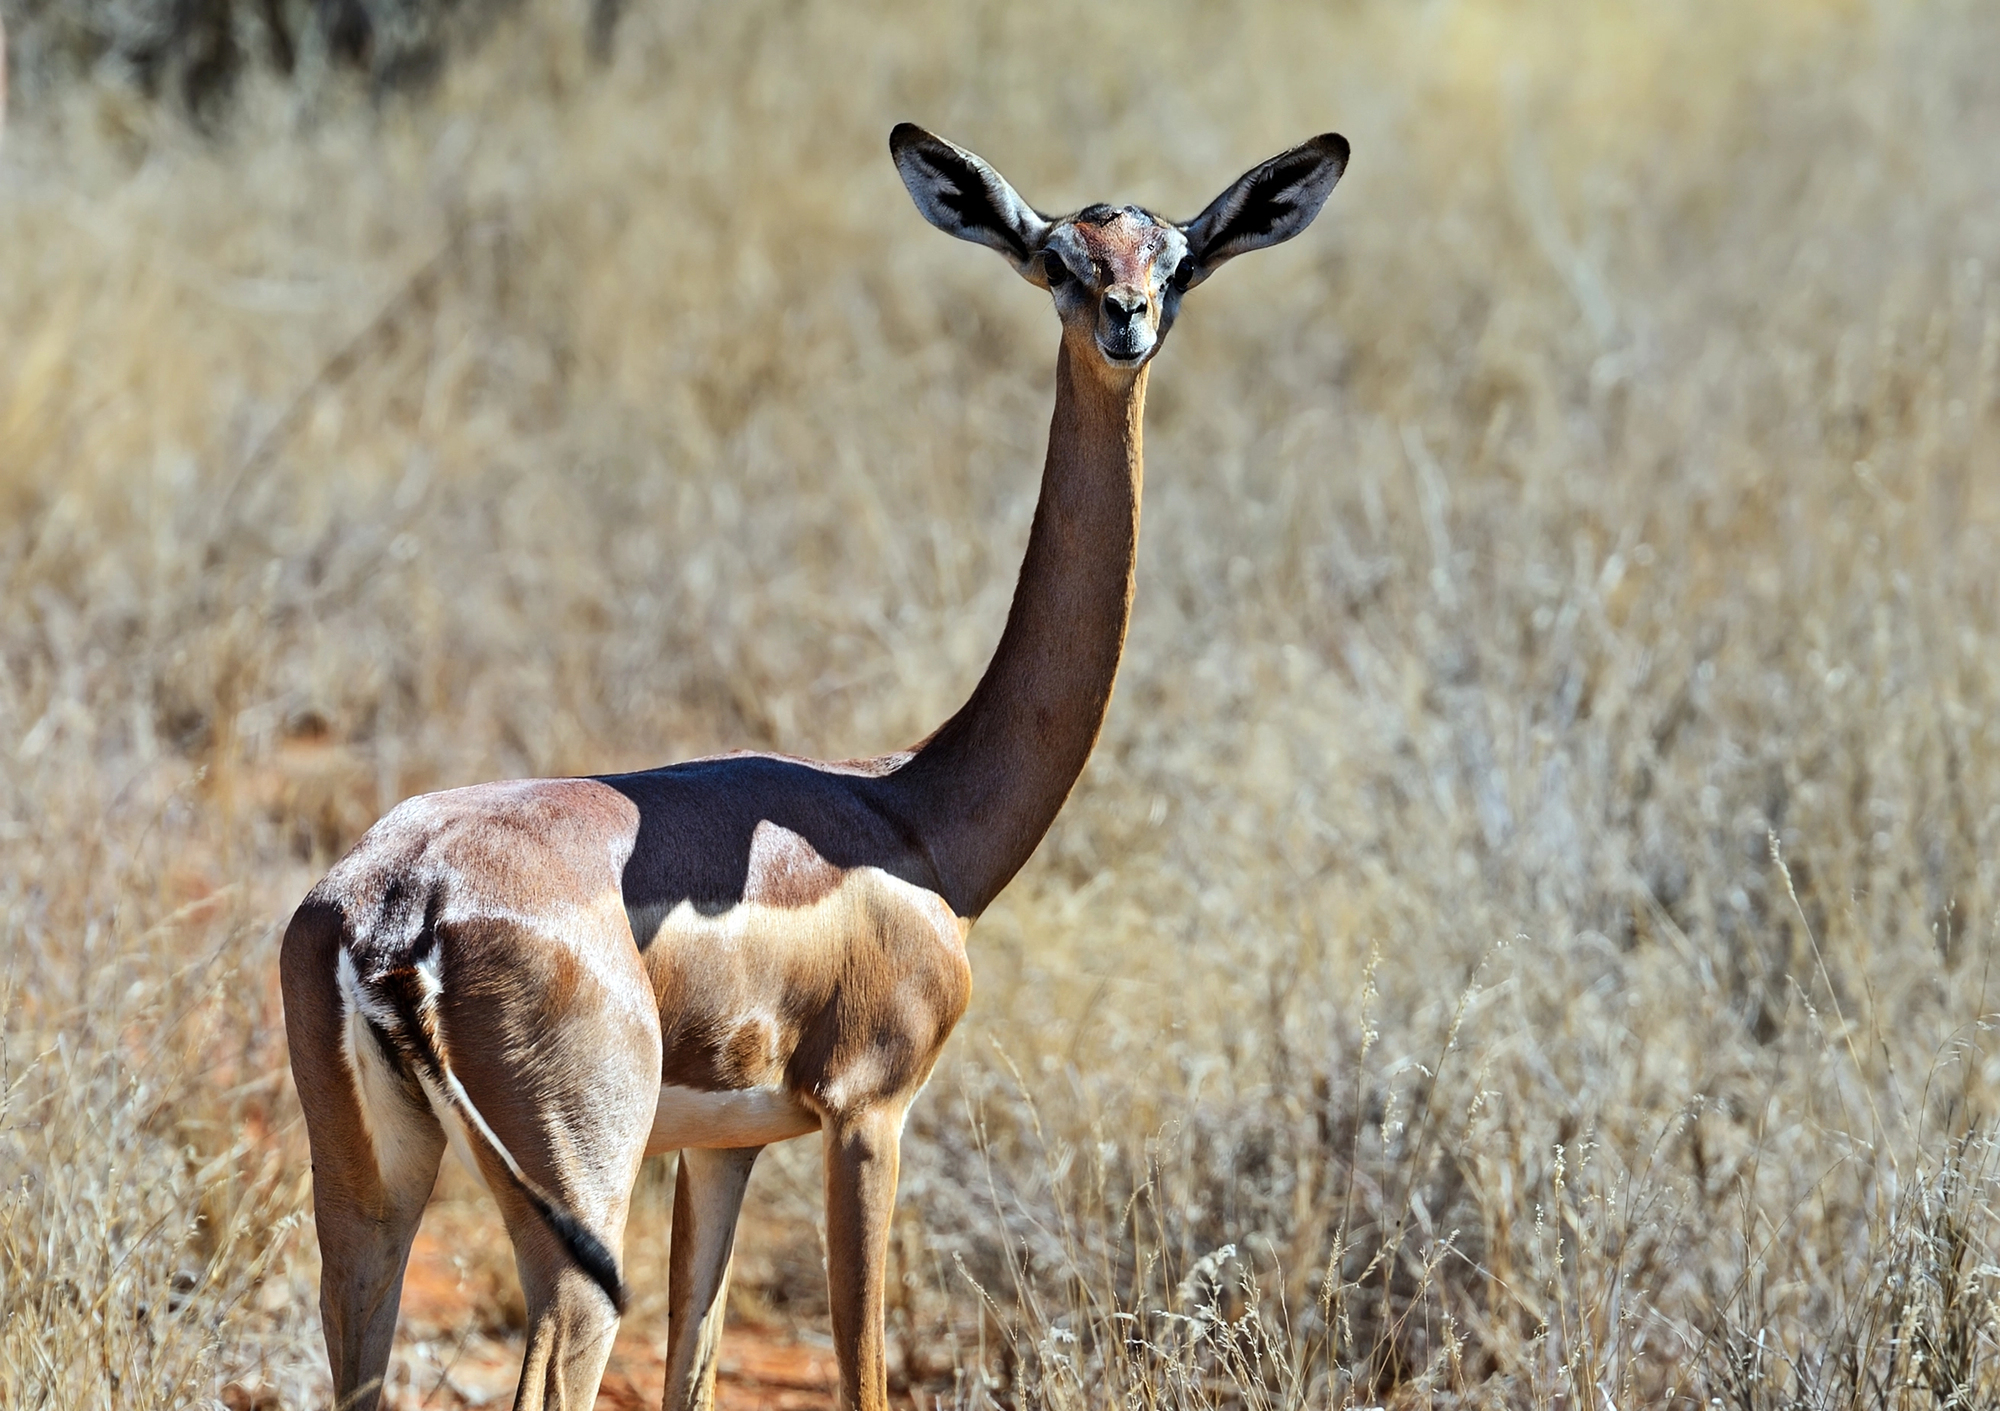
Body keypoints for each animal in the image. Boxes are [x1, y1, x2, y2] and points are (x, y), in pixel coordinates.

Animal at [280, 122, 1348, 1411]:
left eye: (1174, 258)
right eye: (1055, 257)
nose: (1124, 319)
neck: (912, 815)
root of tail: (395, 908)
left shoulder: (725, 1147)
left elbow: (693, 1367)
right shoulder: (866, 1114)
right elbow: (862, 1374)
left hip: (368, 1195)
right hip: (574, 1222)